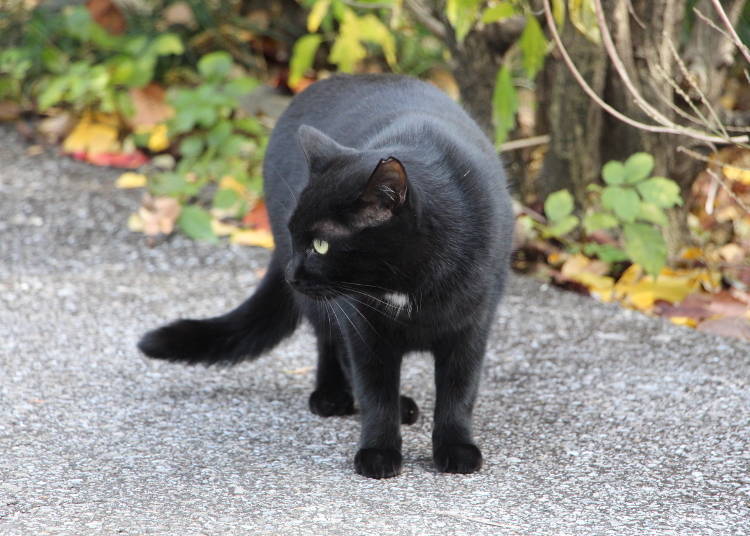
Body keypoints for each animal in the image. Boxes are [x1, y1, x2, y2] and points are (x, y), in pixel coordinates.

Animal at [140, 73, 516, 480]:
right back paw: (333, 396)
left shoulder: (472, 325)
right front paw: (379, 452)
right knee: (329, 340)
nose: (291, 272)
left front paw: (456, 448)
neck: (407, 284)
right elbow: (374, 390)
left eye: (320, 245)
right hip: (325, 303)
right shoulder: (364, 325)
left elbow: (459, 392)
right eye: (294, 234)